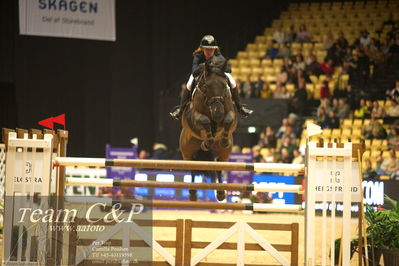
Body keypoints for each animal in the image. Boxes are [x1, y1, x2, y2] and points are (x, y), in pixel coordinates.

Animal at [179, 56, 238, 202]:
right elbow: (204, 120)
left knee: (219, 168)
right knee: (193, 170)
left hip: (224, 155)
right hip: (187, 153)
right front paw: (206, 142)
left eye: (224, 85)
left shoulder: (231, 114)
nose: (218, 113)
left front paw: (224, 140)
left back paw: (221, 193)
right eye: (206, 87)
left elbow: (228, 120)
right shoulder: (193, 116)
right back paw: (193, 194)